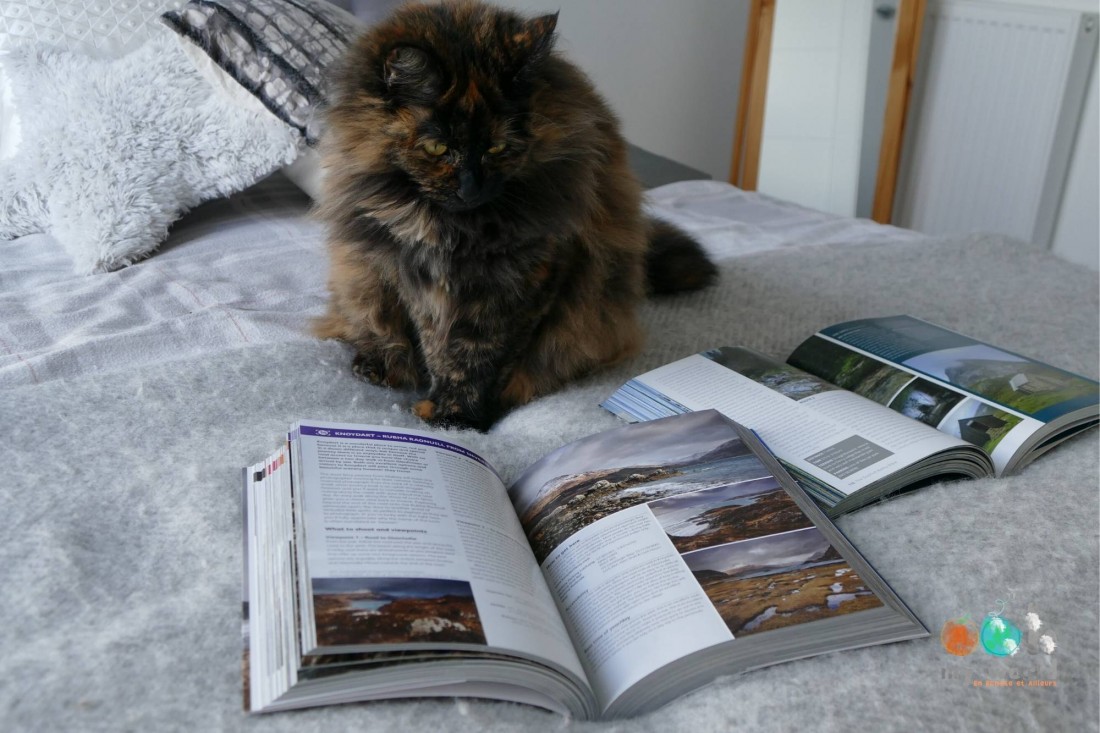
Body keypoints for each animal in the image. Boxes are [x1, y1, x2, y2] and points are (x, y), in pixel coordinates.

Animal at [314, 1, 717, 429]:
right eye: (437, 148)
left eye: (497, 148)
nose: (470, 188)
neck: (454, 231)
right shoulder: (407, 272)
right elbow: (430, 339)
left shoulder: (525, 281)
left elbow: (476, 356)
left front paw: (456, 416)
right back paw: (375, 365)